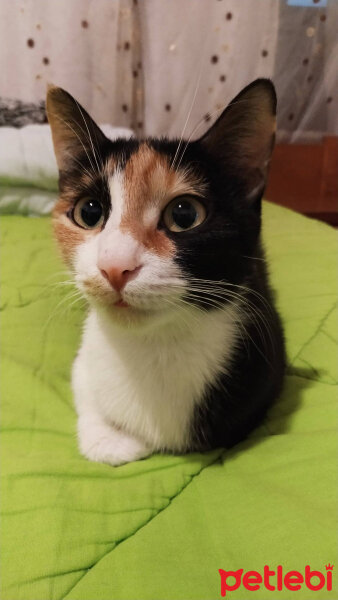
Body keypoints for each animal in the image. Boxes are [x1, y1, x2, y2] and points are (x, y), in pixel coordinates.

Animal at [46, 77, 286, 466]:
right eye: (89, 212)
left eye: (184, 214)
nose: (115, 266)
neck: (154, 344)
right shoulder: (84, 361)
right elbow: (84, 389)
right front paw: (112, 439)